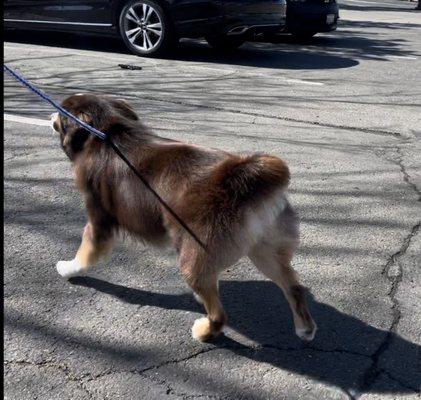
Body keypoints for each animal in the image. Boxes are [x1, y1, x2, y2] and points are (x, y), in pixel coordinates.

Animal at [50, 94, 316, 340]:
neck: (107, 132)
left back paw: (204, 331)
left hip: (193, 255)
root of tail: (246, 179)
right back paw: (305, 329)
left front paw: (68, 269)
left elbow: (84, 253)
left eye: (61, 110)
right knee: (293, 286)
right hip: (265, 249)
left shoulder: (99, 221)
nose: (50, 113)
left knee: (220, 315)